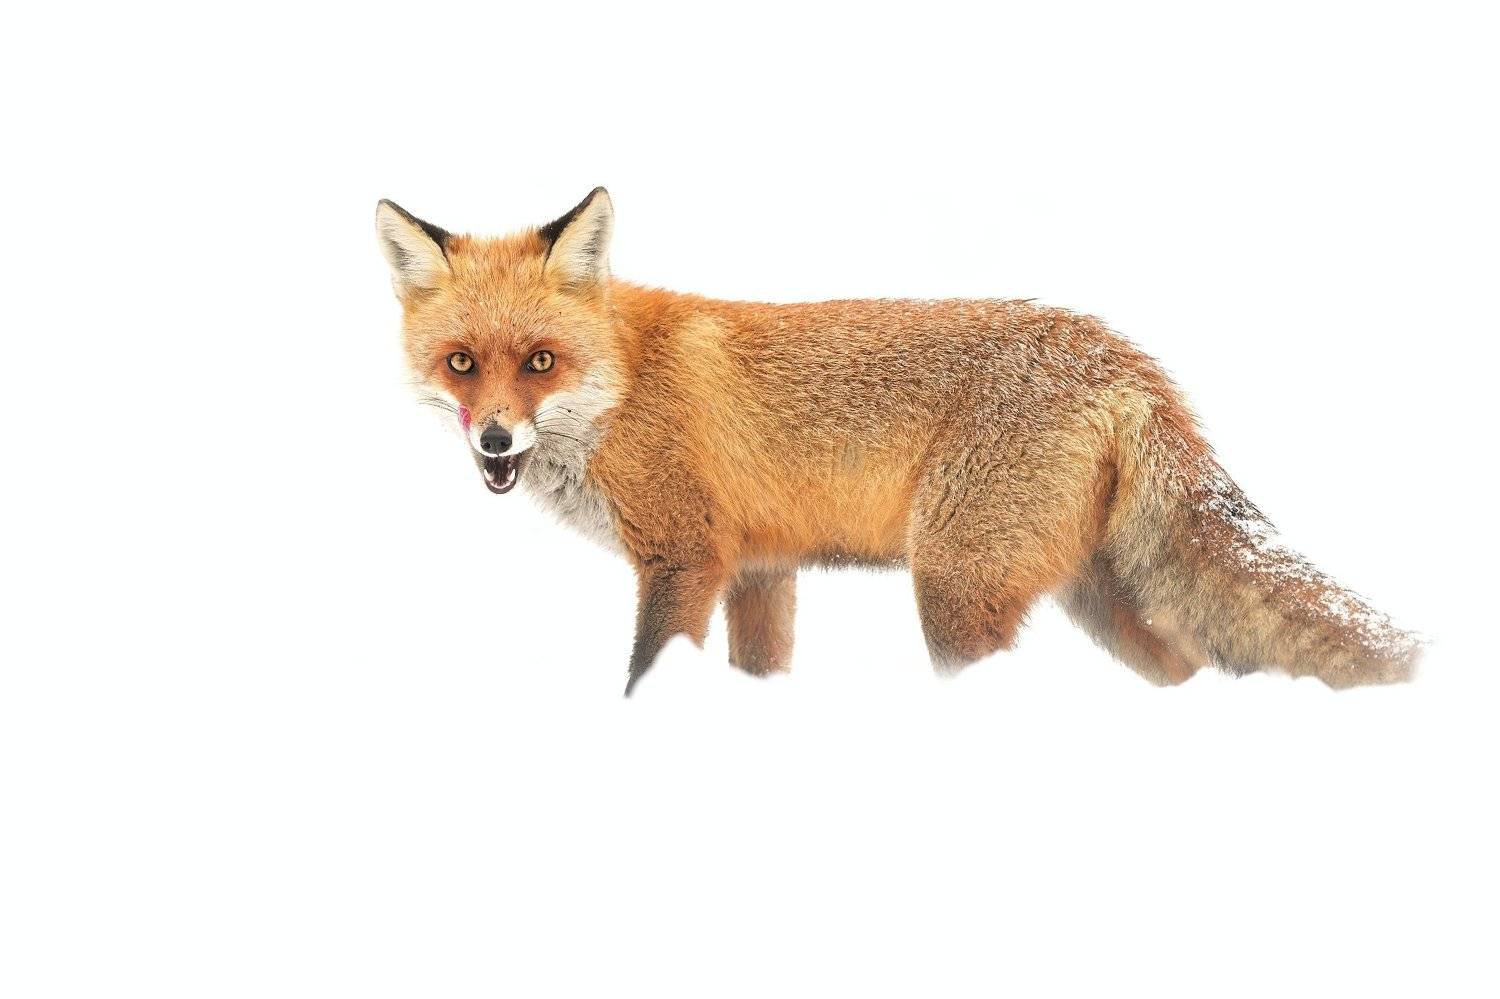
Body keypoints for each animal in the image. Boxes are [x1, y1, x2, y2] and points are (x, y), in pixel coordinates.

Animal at [376, 187, 1420, 695]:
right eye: (462, 363)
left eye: (540, 361)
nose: (496, 440)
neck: (624, 384)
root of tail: (1123, 356)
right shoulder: (761, 569)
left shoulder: (685, 557)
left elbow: (644, 676)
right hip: (1095, 599)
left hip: (955, 591)